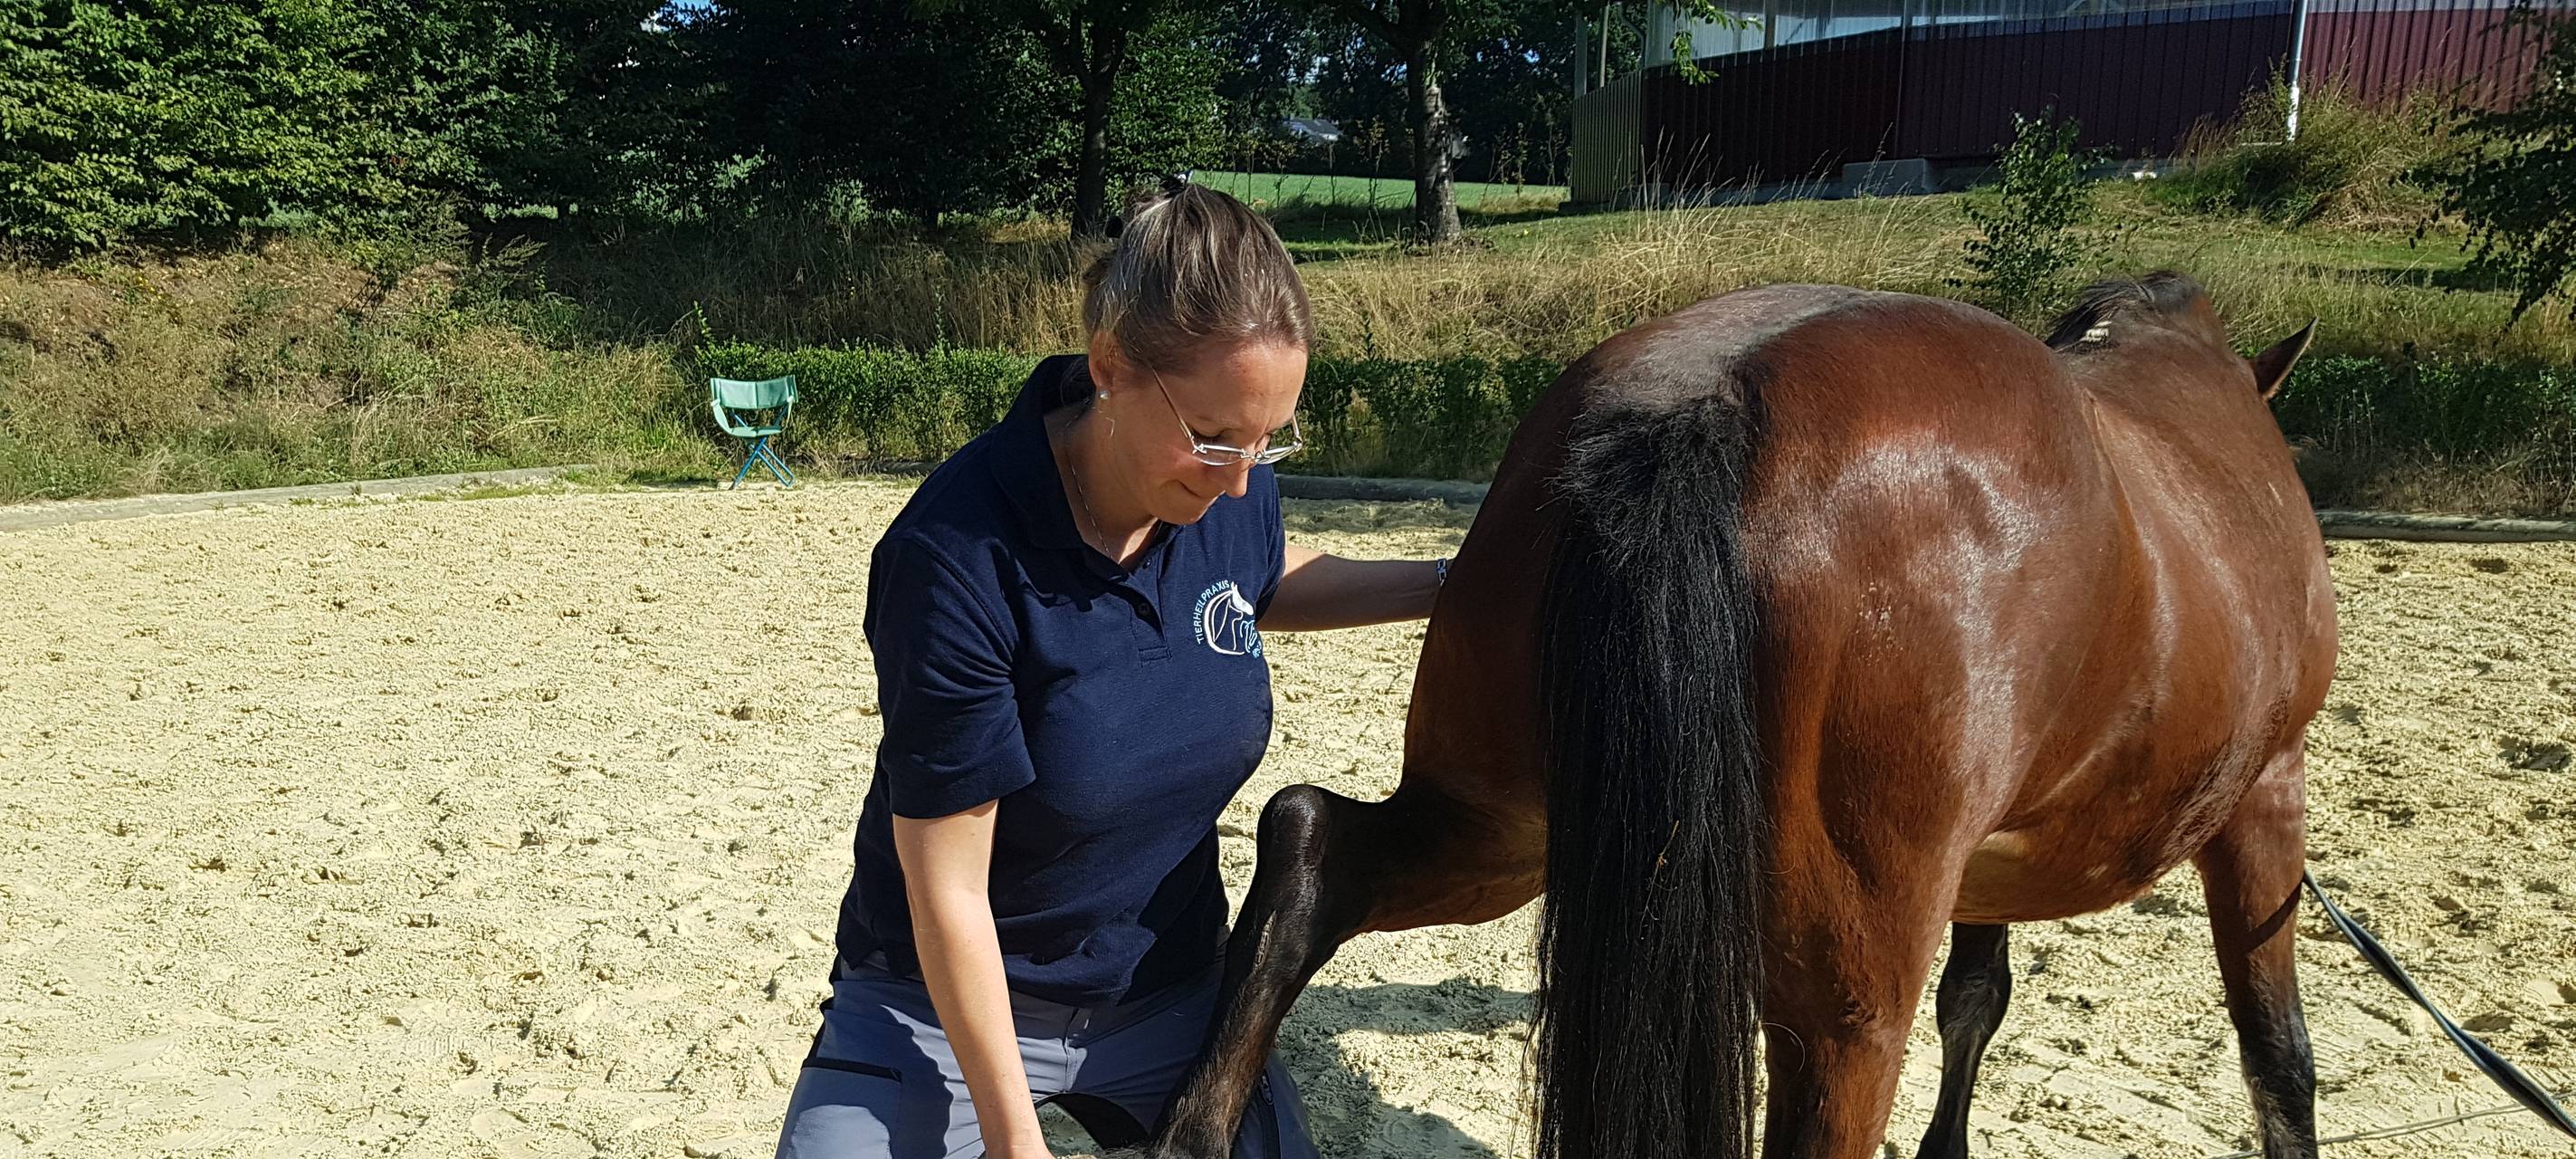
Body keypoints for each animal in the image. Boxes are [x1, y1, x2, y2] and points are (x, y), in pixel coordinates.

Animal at [1140, 271, 2336, 1159]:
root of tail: (1697, 401)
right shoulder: (2268, 796)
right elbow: (2276, 1056)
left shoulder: (1993, 858)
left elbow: (1977, 998)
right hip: (1842, 1005)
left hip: (1501, 826)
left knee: (1308, 841)